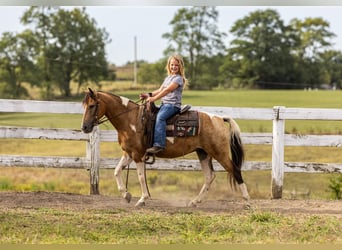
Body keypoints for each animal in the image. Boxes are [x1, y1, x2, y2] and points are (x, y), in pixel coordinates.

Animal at [81, 88, 250, 207]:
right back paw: (195, 202)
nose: (85, 127)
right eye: (84, 106)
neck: (131, 120)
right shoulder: (128, 153)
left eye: (92, 106)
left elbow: (141, 177)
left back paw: (247, 202)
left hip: (219, 152)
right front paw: (126, 195)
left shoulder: (138, 155)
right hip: (203, 153)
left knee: (235, 170)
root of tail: (219, 118)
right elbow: (116, 171)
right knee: (209, 176)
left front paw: (142, 199)